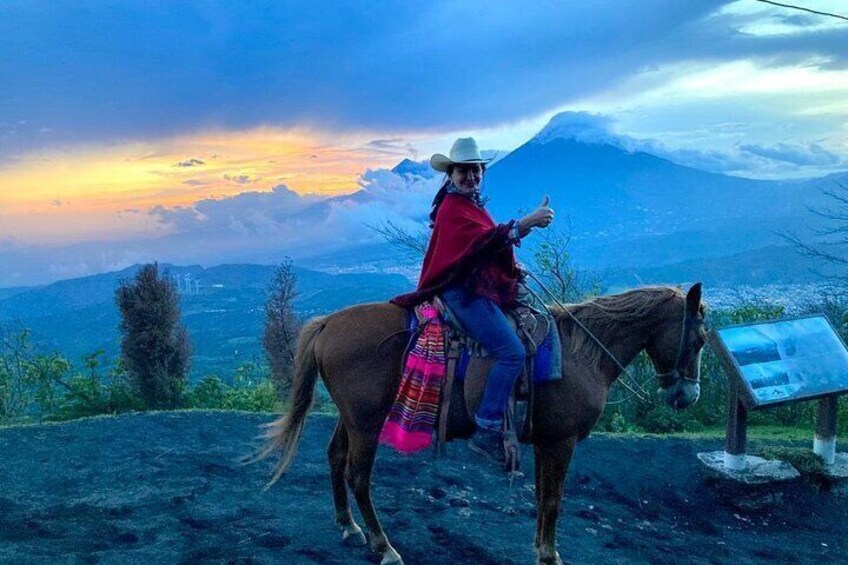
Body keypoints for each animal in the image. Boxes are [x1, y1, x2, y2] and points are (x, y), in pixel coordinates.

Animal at [258, 284, 708, 560]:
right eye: (702, 339)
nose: (688, 396)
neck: (582, 353)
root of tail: (327, 323)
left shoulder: (545, 441)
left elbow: (542, 496)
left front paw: (541, 548)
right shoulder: (561, 442)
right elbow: (554, 500)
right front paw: (550, 555)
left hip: (352, 417)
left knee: (335, 458)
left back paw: (349, 527)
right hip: (367, 423)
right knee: (358, 477)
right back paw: (383, 545)